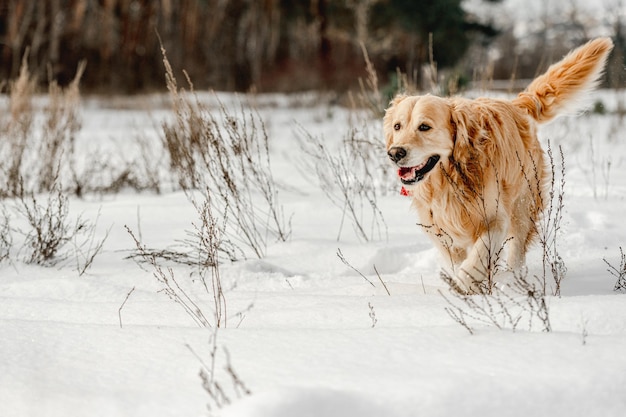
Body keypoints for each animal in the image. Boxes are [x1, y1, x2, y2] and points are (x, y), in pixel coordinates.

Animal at [382, 38, 612, 292]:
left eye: (424, 127)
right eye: (397, 126)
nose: (395, 153)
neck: (451, 179)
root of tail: (517, 104)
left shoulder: (495, 218)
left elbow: (478, 255)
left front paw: (465, 283)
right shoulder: (439, 229)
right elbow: (456, 259)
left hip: (523, 205)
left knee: (517, 250)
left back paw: (513, 279)